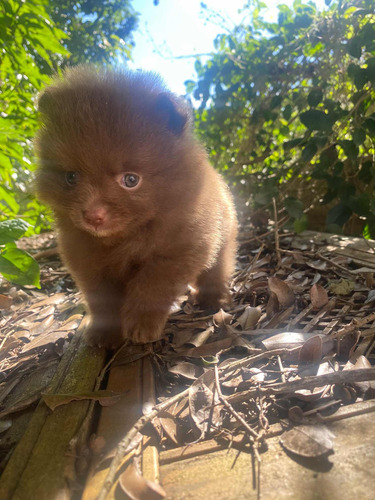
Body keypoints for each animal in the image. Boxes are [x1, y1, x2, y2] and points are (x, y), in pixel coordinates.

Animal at [36, 66, 238, 348]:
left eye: (131, 180)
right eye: (71, 177)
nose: (92, 215)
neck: (126, 238)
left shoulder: (178, 250)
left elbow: (152, 287)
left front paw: (142, 327)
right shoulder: (88, 262)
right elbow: (102, 300)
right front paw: (104, 333)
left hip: (223, 237)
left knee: (217, 268)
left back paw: (213, 299)